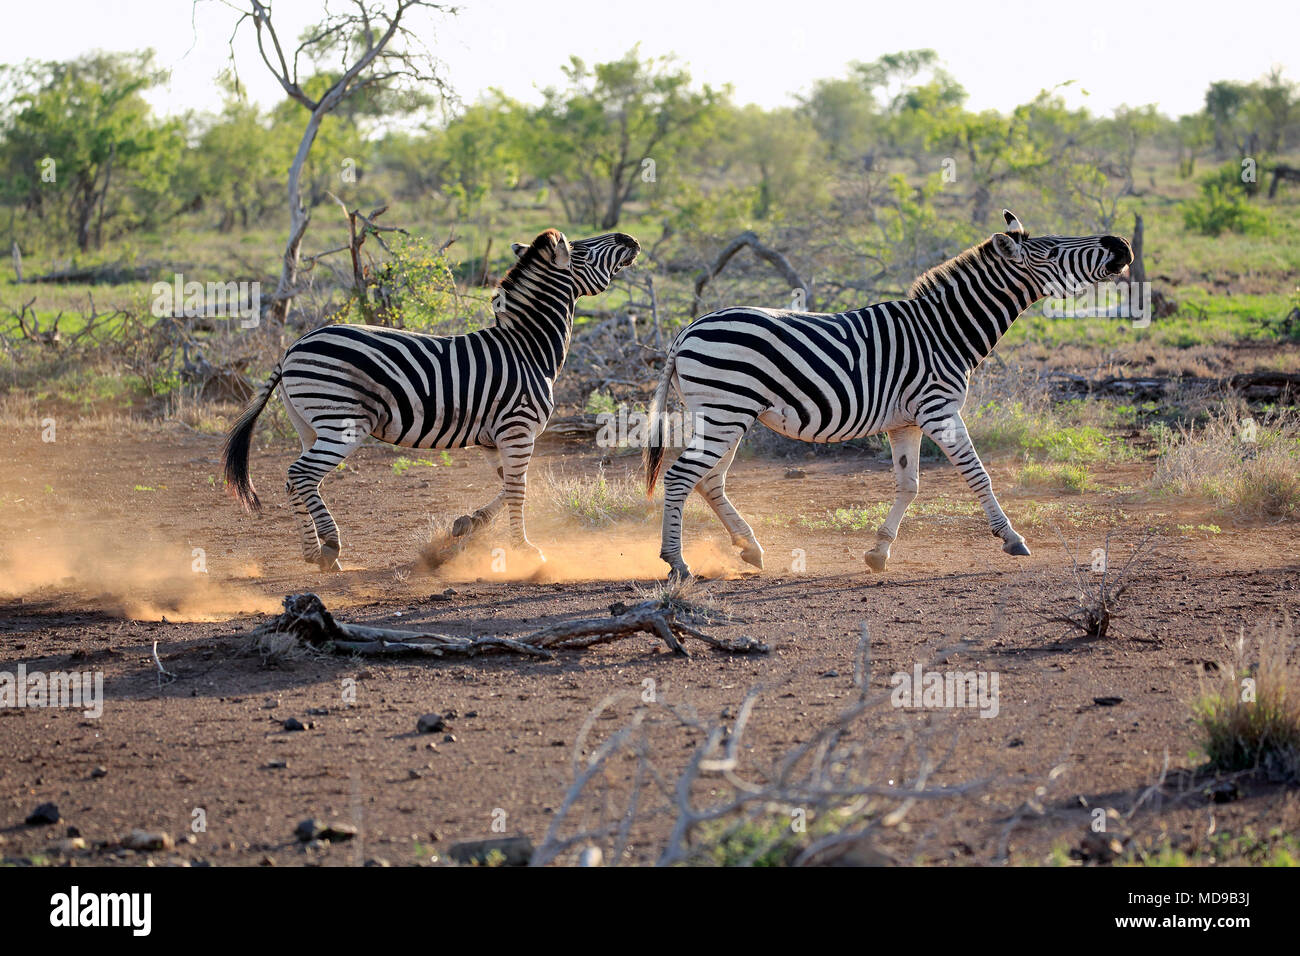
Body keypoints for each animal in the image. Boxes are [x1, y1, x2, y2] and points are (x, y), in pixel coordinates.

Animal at [223, 227, 639, 572]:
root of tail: (291, 349)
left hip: (309, 426)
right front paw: (524, 549)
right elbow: (520, 491)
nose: (631, 239)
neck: (528, 349)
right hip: (342, 424)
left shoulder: (495, 439)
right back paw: (329, 545)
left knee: (296, 481)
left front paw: (469, 524)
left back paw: (313, 552)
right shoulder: (518, 430)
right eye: (583, 249)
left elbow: (512, 487)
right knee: (300, 473)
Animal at [644, 210, 1133, 580]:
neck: (945, 331)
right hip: (727, 411)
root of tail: (687, 329)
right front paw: (1012, 538)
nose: (1123, 245)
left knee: (709, 480)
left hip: (725, 415)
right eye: (1052, 250)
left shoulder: (907, 421)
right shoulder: (939, 410)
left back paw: (749, 548)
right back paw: (677, 563)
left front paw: (879, 552)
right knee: (682, 476)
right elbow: (978, 475)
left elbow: (908, 484)